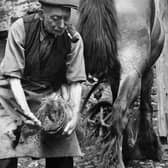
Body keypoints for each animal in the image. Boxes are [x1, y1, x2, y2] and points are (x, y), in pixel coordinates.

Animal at [71, 0, 164, 167]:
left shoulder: (114, 75)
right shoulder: (146, 70)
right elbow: (146, 105)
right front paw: (150, 148)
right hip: (132, 71)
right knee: (120, 111)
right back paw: (118, 160)